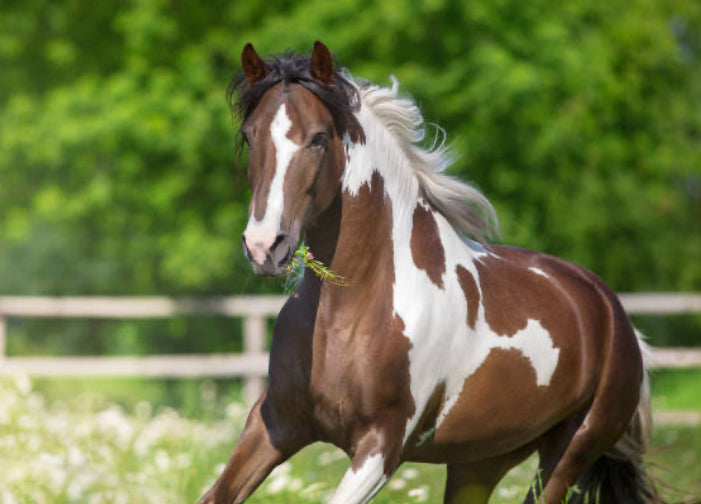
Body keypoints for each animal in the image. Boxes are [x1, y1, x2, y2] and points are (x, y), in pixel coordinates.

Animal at [198, 41, 659, 504]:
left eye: (318, 137)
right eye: (249, 135)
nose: (264, 247)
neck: (350, 310)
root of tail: (614, 314)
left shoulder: (381, 447)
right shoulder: (276, 422)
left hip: (568, 455)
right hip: (480, 462)